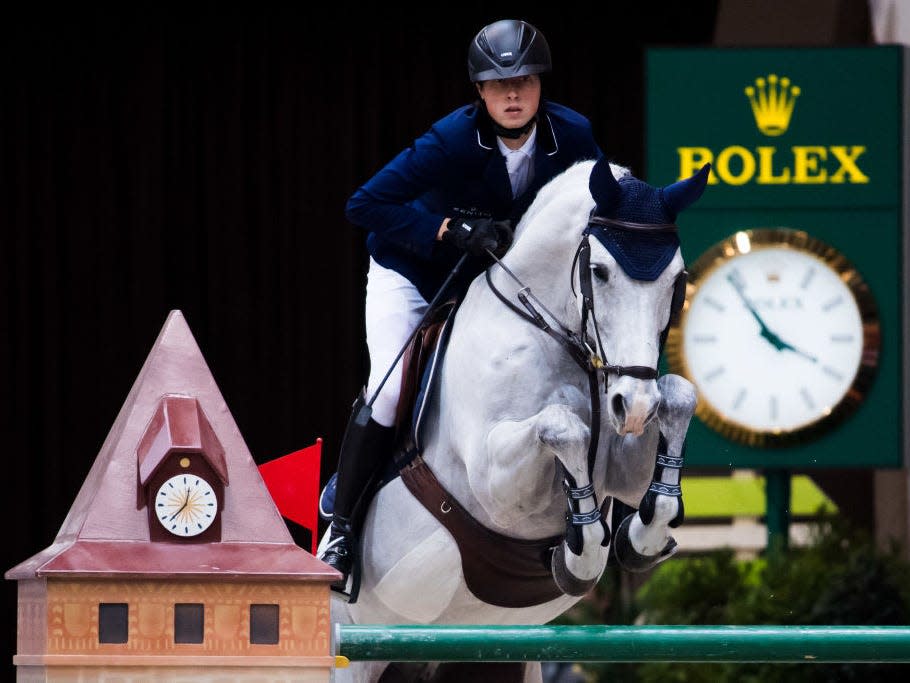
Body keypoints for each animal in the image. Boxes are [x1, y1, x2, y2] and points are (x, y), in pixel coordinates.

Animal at [328, 156, 712, 683]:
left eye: (677, 280)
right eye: (599, 272)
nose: (633, 407)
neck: (553, 331)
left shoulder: (624, 452)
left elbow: (679, 398)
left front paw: (642, 535)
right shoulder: (494, 481)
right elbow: (563, 426)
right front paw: (582, 553)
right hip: (352, 652)